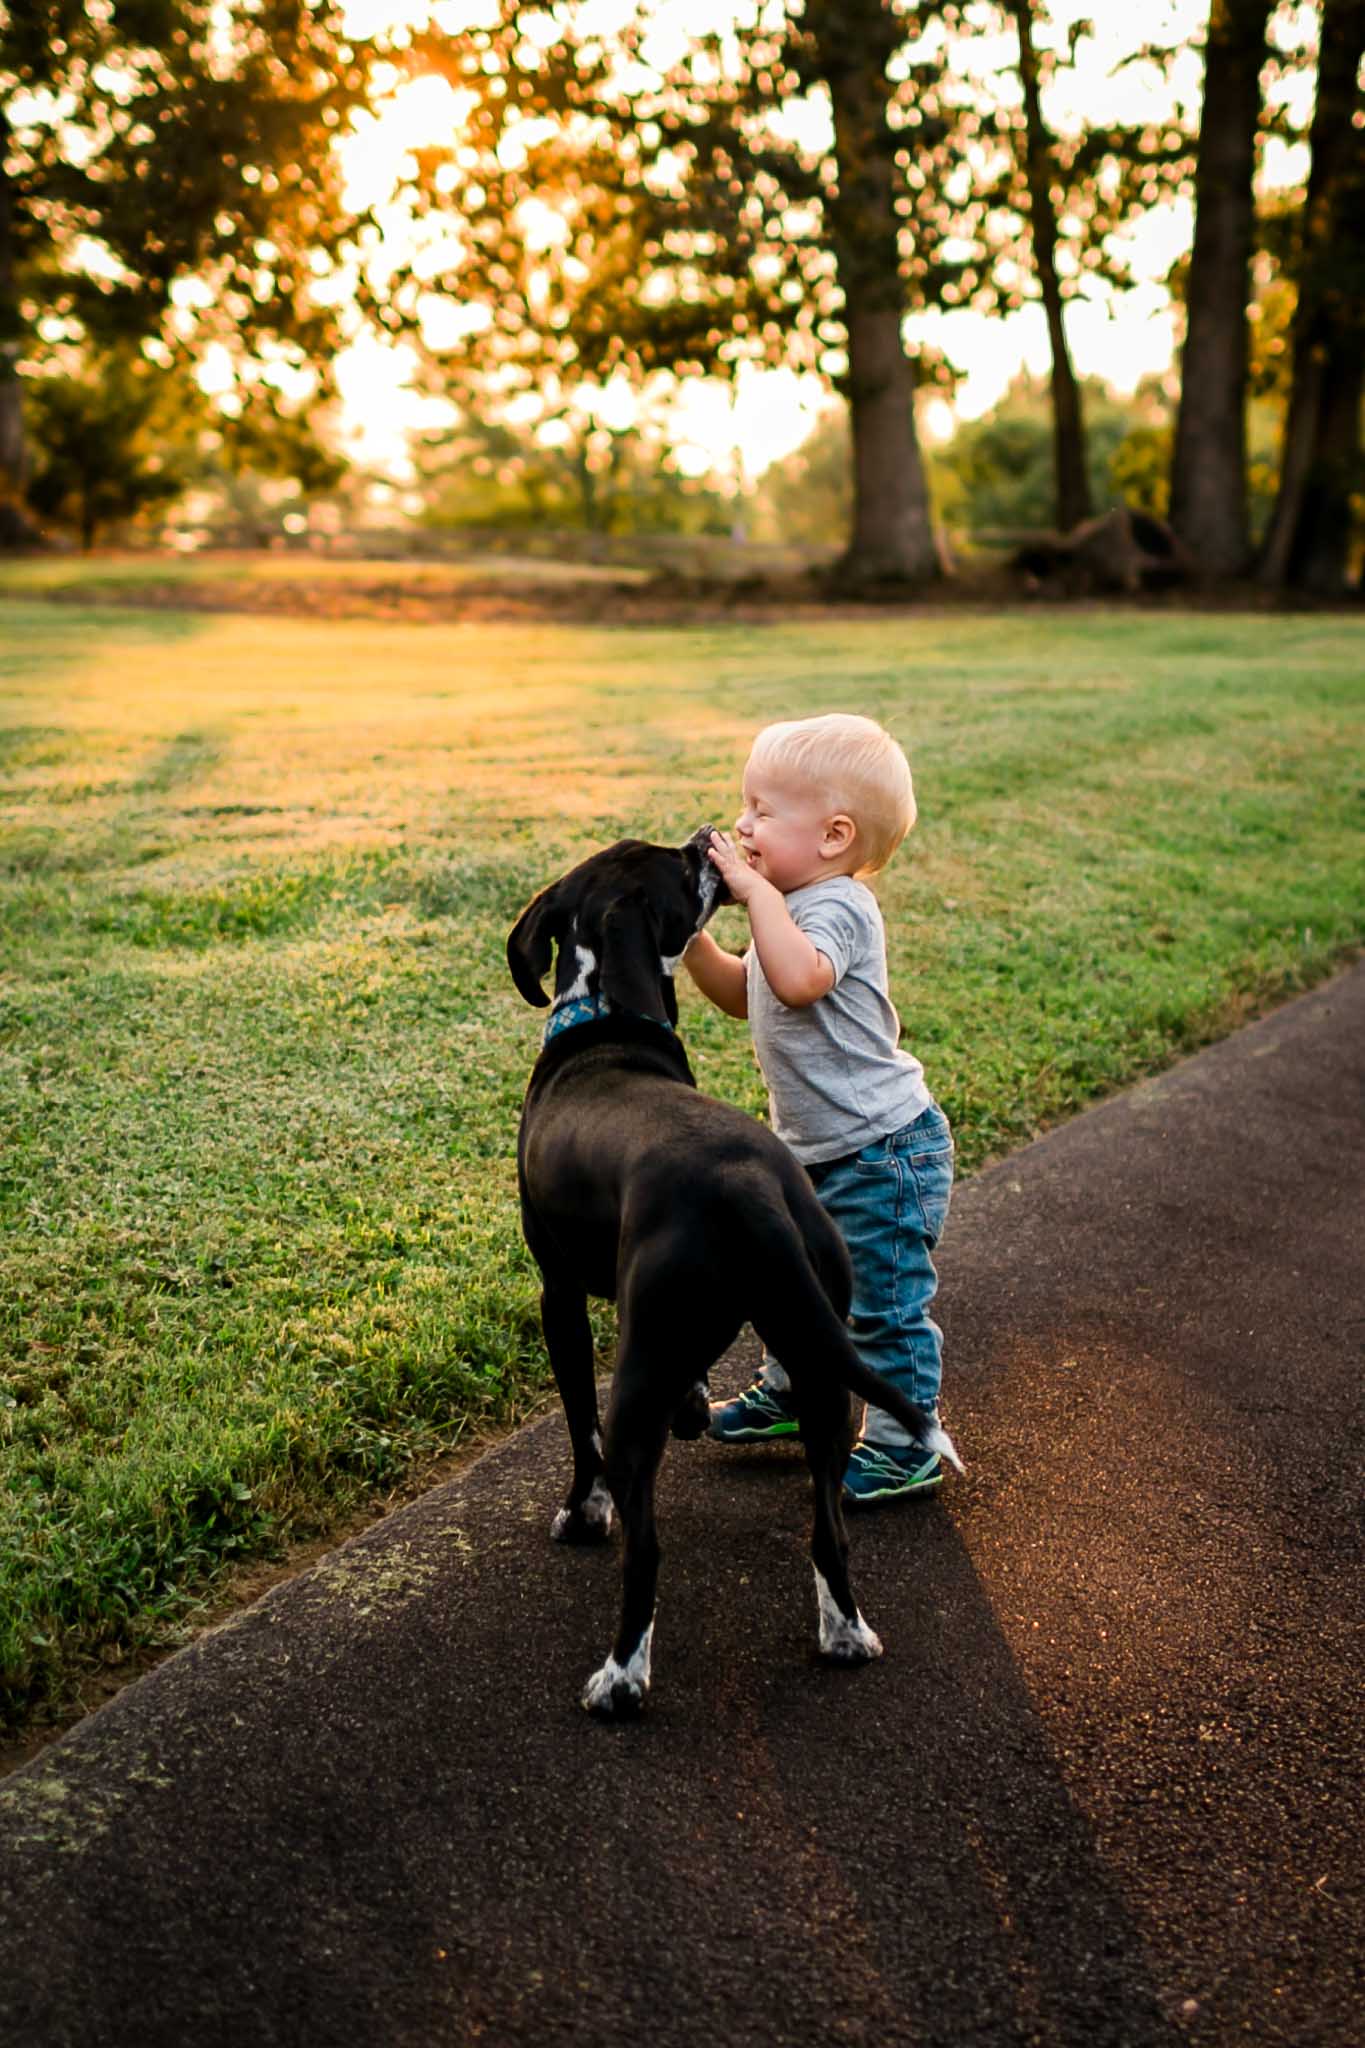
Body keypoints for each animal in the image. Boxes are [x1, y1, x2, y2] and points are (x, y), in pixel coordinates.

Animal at [507, 827, 965, 1712]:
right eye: (675, 862)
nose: (703, 839)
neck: (601, 1022)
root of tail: (748, 1188)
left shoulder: (560, 1297)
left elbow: (579, 1430)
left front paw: (582, 1514)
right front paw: (695, 1407)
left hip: (639, 1378)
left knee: (646, 1553)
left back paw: (620, 1678)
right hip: (819, 1362)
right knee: (828, 1531)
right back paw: (844, 1633)